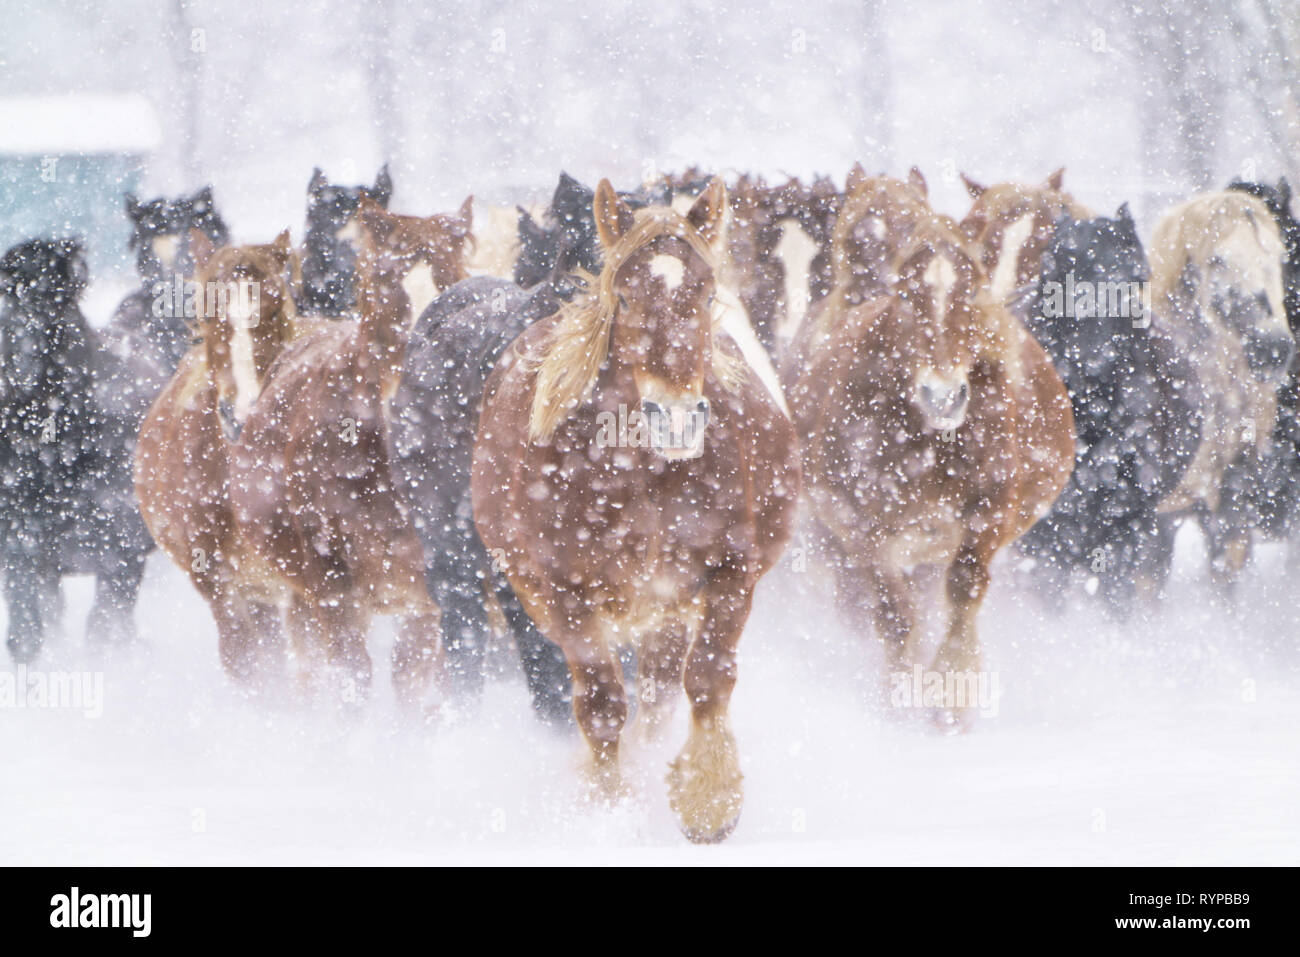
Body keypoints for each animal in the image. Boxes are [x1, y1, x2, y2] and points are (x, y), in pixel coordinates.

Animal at [229, 197, 471, 708]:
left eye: (455, 293)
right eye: (384, 291)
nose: (410, 403)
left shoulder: (427, 597)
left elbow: (412, 684)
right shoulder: (331, 581)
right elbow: (351, 678)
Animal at [472, 179, 800, 841]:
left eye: (704, 292)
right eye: (625, 295)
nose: (675, 420)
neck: (646, 477)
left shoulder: (729, 574)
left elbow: (708, 678)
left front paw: (708, 799)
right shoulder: (567, 593)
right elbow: (600, 704)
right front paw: (608, 807)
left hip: (666, 606)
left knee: (660, 692)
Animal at [784, 173, 1075, 730]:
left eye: (972, 288)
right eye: (905, 292)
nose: (943, 396)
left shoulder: (987, 513)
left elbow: (963, 591)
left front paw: (950, 699)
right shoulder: (862, 525)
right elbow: (893, 614)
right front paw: (903, 698)